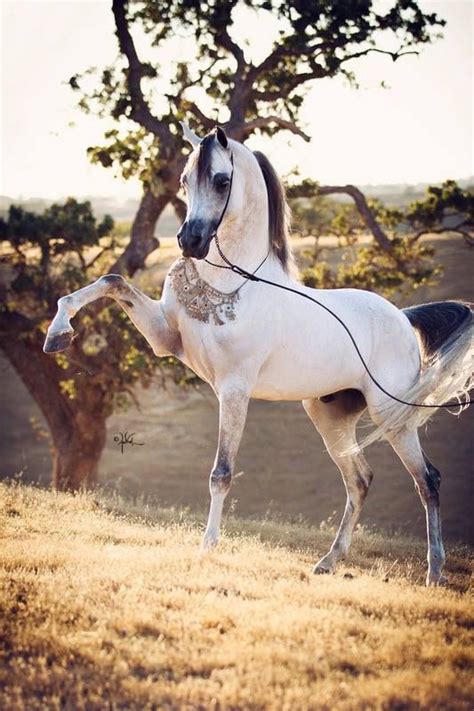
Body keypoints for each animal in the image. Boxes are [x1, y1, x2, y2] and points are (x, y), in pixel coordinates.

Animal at [42, 124, 472, 588]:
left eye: (221, 181)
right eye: (183, 180)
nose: (190, 241)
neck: (232, 281)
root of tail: (404, 319)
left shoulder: (233, 390)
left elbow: (222, 473)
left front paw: (208, 547)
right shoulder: (165, 338)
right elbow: (112, 280)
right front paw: (57, 334)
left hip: (391, 417)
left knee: (427, 480)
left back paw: (434, 571)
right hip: (330, 416)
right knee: (359, 480)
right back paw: (328, 561)